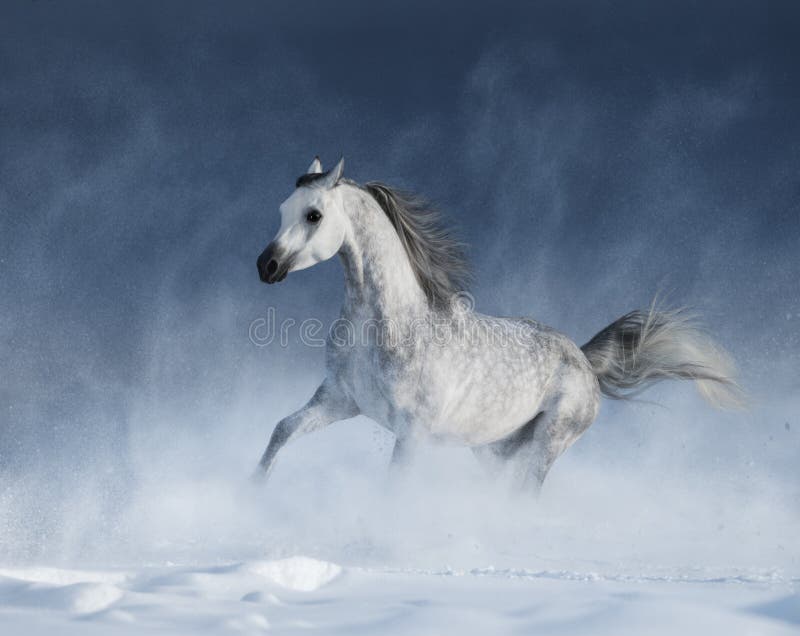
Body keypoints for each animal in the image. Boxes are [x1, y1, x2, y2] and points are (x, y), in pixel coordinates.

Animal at [254, 156, 742, 493]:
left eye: (314, 214)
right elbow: (280, 431)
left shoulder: (412, 433)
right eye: (281, 208)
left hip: (546, 444)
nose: (266, 265)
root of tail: (583, 360)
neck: (394, 326)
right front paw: (252, 497)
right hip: (494, 448)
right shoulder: (338, 400)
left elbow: (393, 488)